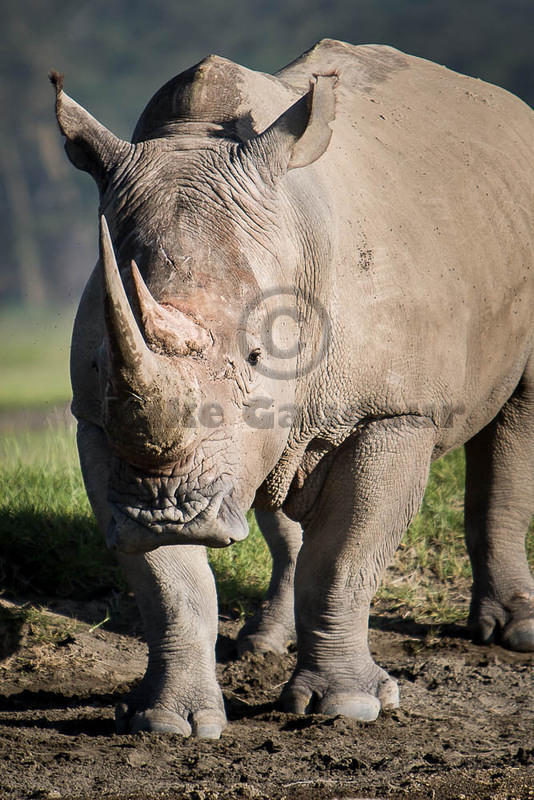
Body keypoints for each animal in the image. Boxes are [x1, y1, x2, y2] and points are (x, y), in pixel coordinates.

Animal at [52, 39, 534, 736]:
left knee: (518, 411)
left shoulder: (392, 414)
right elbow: (170, 584)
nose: (166, 510)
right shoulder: (99, 422)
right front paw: (167, 723)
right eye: (97, 363)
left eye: (257, 355)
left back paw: (512, 635)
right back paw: (262, 644)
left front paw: (349, 709)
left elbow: (345, 558)